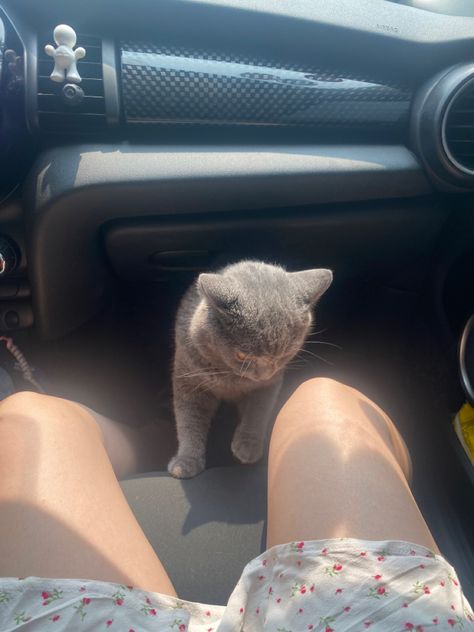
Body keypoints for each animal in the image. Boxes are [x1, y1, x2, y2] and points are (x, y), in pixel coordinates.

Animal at [168, 260, 332, 476]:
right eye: (242, 356)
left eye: (284, 354)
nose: (263, 374)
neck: (232, 377)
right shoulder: (188, 380)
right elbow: (188, 421)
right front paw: (185, 461)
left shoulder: (270, 384)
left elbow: (258, 411)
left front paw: (248, 446)